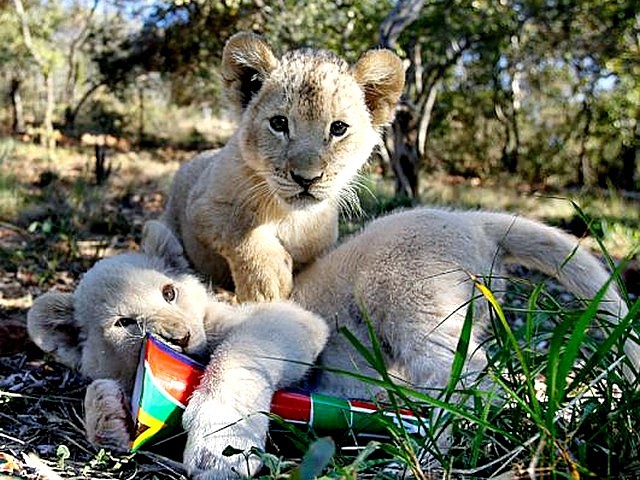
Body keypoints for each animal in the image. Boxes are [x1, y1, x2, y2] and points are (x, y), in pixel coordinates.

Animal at [28, 209, 638, 479]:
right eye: (125, 323)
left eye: (170, 290)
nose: (176, 336)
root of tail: (470, 219)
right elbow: (100, 392)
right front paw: (110, 415)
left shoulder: (294, 323)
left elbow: (235, 356)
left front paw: (222, 447)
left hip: (417, 301)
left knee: (476, 386)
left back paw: (427, 449)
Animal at [161, 32, 404, 302]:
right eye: (279, 123)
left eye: (338, 128)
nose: (307, 178)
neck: (292, 217)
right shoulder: (202, 204)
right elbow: (239, 224)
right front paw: (268, 282)